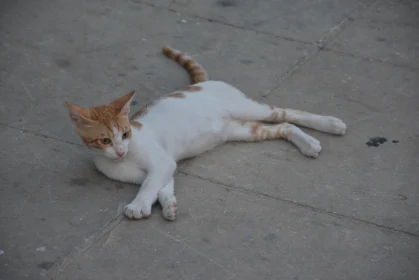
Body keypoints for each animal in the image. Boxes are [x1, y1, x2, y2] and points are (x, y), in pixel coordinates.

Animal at [66, 45, 348, 221]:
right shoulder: (161, 169)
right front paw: (168, 204)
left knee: (288, 113)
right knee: (284, 127)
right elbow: (160, 186)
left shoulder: (161, 162)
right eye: (105, 140)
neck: (123, 161)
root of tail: (200, 84)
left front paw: (139, 205)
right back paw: (308, 143)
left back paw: (330, 125)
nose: (120, 150)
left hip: (246, 108)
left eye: (125, 134)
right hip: (241, 130)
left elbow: (149, 186)